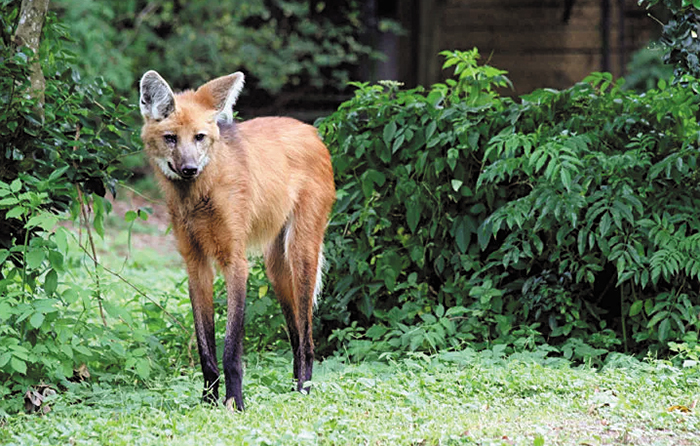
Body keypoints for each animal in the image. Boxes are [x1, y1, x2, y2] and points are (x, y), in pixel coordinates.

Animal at [138, 70, 334, 412]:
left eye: (199, 137)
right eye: (171, 138)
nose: (189, 169)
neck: (199, 196)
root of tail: (311, 130)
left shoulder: (235, 261)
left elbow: (231, 348)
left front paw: (235, 403)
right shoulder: (196, 265)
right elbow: (206, 348)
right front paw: (208, 401)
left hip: (301, 254)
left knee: (308, 339)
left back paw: (304, 390)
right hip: (276, 269)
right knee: (296, 335)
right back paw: (293, 387)